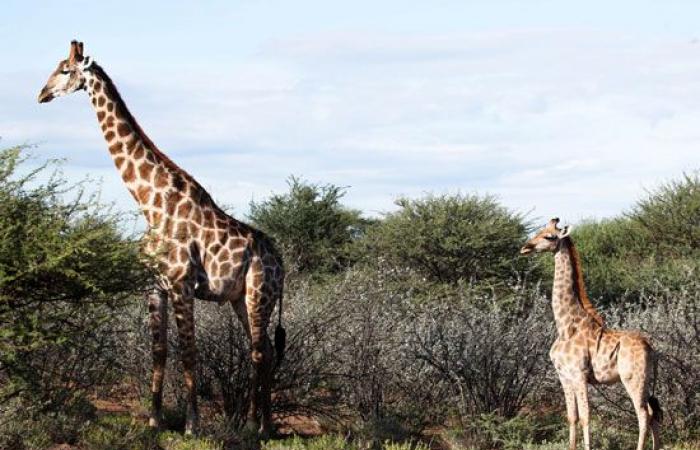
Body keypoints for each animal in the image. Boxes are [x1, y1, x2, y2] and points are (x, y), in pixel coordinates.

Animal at [37, 40, 284, 434]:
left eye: (64, 70)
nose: (41, 94)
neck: (149, 204)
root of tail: (281, 263)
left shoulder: (182, 284)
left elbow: (189, 352)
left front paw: (192, 425)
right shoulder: (154, 286)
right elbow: (160, 351)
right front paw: (154, 419)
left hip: (260, 294)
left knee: (260, 351)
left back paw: (254, 426)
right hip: (240, 299)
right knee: (266, 351)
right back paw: (261, 424)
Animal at [520, 216, 660, 448]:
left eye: (549, 236)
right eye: (538, 231)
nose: (525, 247)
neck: (566, 326)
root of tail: (652, 349)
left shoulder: (579, 374)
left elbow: (586, 416)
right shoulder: (564, 376)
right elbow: (572, 416)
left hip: (633, 379)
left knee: (643, 414)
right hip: (647, 381)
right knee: (654, 413)